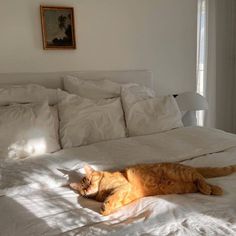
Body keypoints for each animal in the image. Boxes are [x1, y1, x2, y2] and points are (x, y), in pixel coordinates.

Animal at [70, 162, 236, 216]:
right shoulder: (123, 194)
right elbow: (115, 200)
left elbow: (112, 197)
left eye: (89, 181)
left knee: (200, 177)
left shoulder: (122, 187)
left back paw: (213, 189)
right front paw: (107, 208)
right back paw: (212, 189)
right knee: (198, 181)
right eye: (83, 190)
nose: (88, 189)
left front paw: (105, 206)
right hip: (186, 185)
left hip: (182, 173)